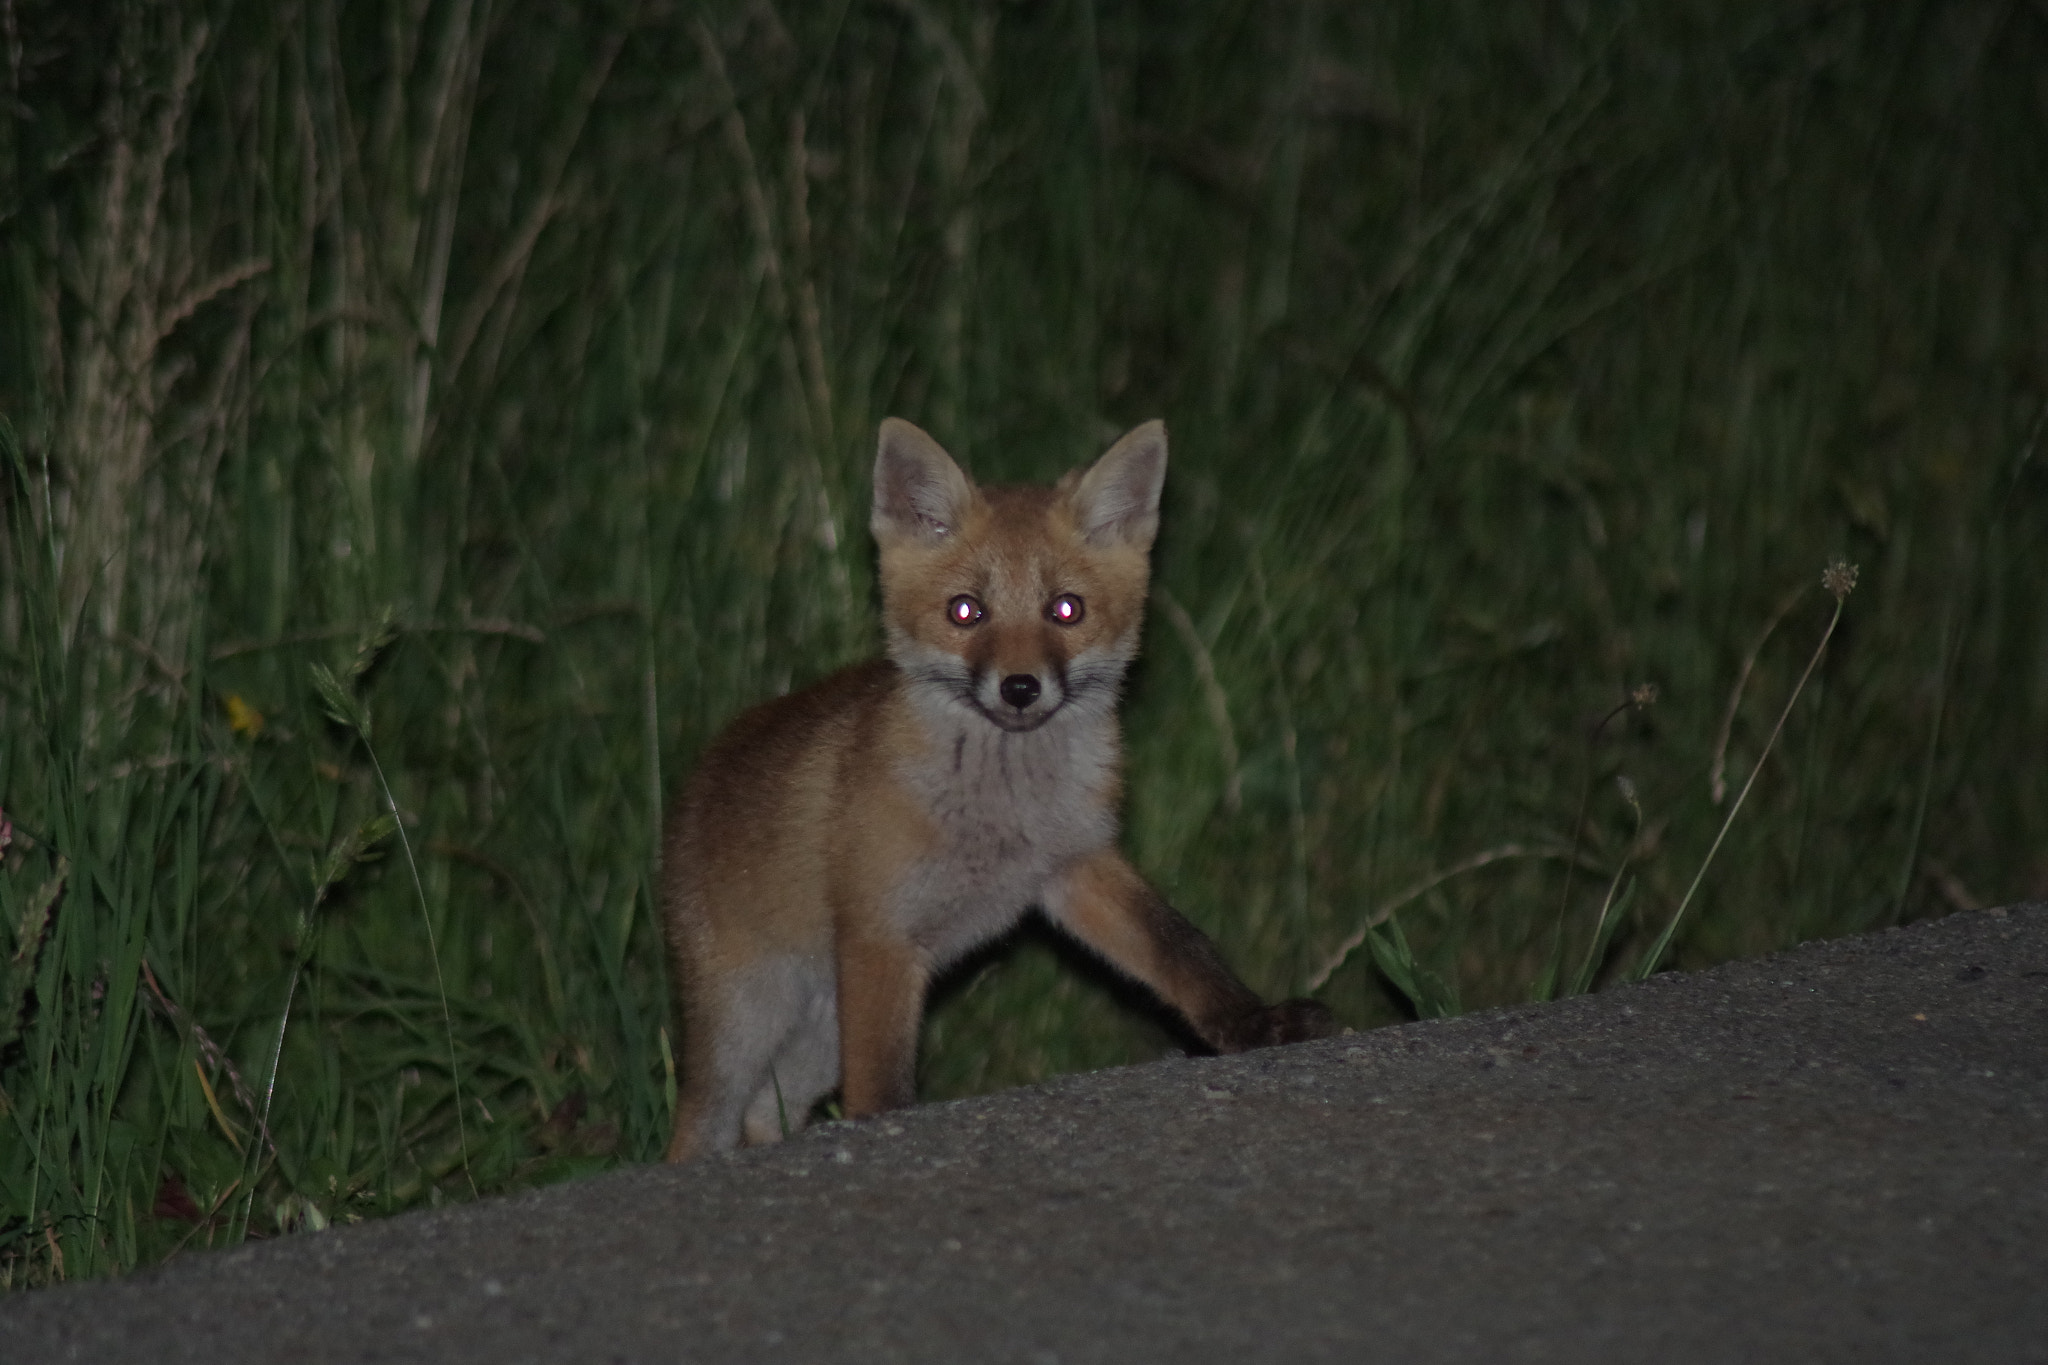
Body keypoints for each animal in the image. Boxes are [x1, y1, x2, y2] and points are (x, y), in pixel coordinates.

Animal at [663, 419, 1335, 1162]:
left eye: (1065, 609)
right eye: (966, 611)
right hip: (746, 1025)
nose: (1019, 687)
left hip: (815, 1039)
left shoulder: (1075, 866)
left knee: (766, 1112)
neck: (1002, 819)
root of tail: (706, 767)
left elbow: (1179, 947)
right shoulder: (881, 934)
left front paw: (1250, 1022)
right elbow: (882, 1085)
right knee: (700, 1123)